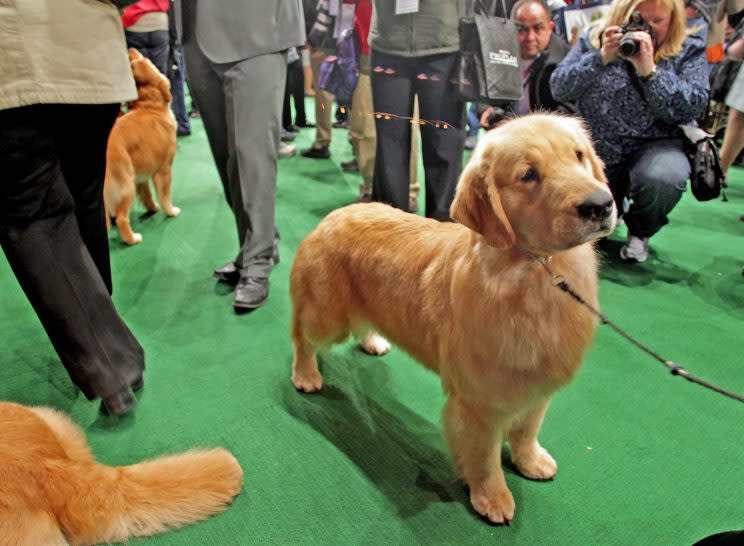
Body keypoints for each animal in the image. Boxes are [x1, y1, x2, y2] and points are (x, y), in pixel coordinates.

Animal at [104, 47, 179, 243]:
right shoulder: (164, 169)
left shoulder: (142, 176)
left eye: (133, 65)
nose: (129, 48)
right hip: (125, 184)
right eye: (146, 60)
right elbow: (165, 195)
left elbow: (147, 194)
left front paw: (153, 208)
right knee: (121, 217)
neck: (150, 107)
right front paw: (171, 211)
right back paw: (132, 238)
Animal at [290, 113, 616, 524]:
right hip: (326, 315)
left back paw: (374, 341)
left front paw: (531, 462)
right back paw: (306, 375)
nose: (601, 204)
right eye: (528, 175)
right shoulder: (480, 403)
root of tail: (335, 214)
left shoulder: (537, 385)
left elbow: (527, 431)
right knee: (302, 337)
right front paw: (492, 497)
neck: (535, 275)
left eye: (578, 155)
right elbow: (485, 456)